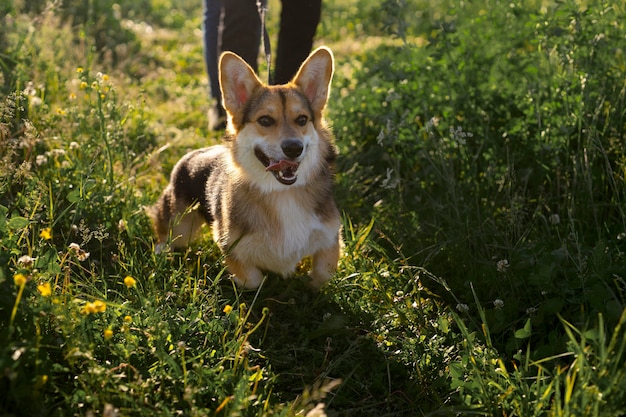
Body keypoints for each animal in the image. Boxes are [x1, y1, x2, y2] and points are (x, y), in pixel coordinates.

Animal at [147, 44, 342, 286]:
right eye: (265, 120)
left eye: (302, 120)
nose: (294, 148)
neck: (281, 193)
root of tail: (194, 154)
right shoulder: (232, 246)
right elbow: (253, 280)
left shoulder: (330, 235)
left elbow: (324, 272)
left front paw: (309, 283)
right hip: (180, 226)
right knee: (166, 234)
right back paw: (161, 252)